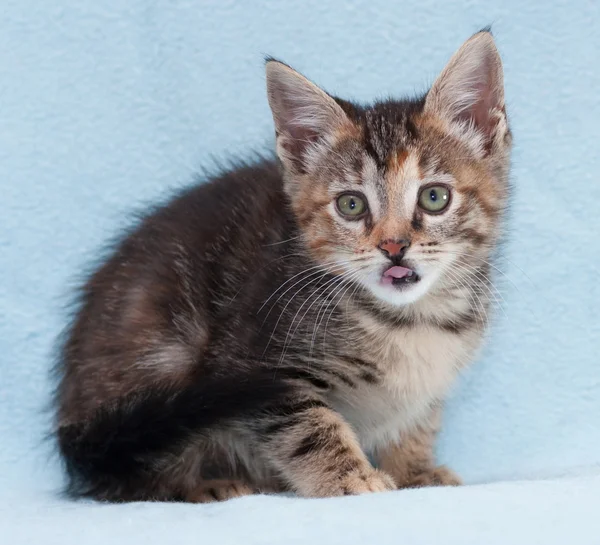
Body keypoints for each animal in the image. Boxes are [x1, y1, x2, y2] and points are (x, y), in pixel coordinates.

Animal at [55, 31, 510, 502]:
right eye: (351, 205)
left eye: (434, 197)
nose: (393, 246)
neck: (410, 319)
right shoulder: (253, 365)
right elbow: (308, 426)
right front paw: (351, 477)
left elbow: (419, 421)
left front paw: (415, 471)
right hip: (162, 368)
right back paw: (207, 485)